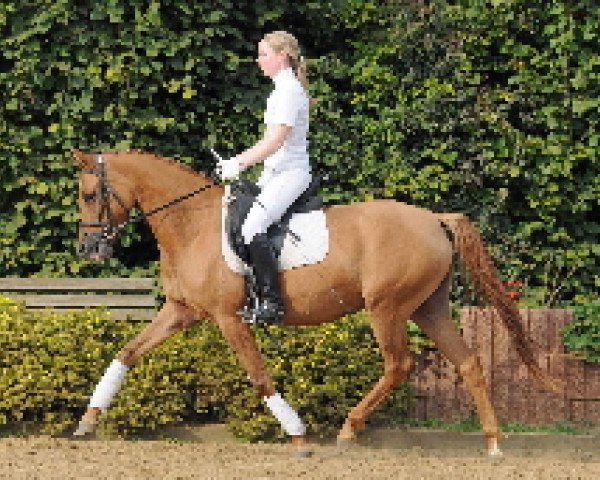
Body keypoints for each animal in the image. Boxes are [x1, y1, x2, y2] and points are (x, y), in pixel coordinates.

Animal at [71, 150, 564, 458]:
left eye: (90, 194)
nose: (88, 249)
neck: (193, 225)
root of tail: (433, 219)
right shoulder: (181, 311)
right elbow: (127, 352)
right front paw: (87, 421)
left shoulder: (228, 318)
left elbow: (259, 375)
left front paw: (299, 437)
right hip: (429, 308)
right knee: (468, 362)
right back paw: (494, 444)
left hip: (387, 307)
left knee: (399, 365)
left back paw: (347, 430)